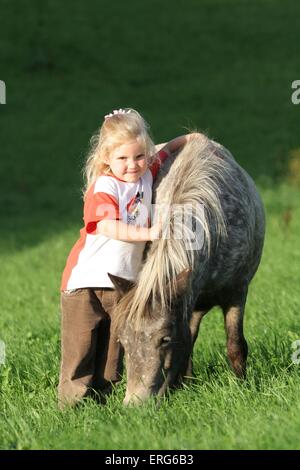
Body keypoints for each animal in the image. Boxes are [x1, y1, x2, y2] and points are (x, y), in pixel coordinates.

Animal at [108, 135, 264, 404]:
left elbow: (235, 345)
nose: (135, 404)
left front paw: (244, 387)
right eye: (123, 342)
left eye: (165, 339)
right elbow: (188, 342)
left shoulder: (237, 292)